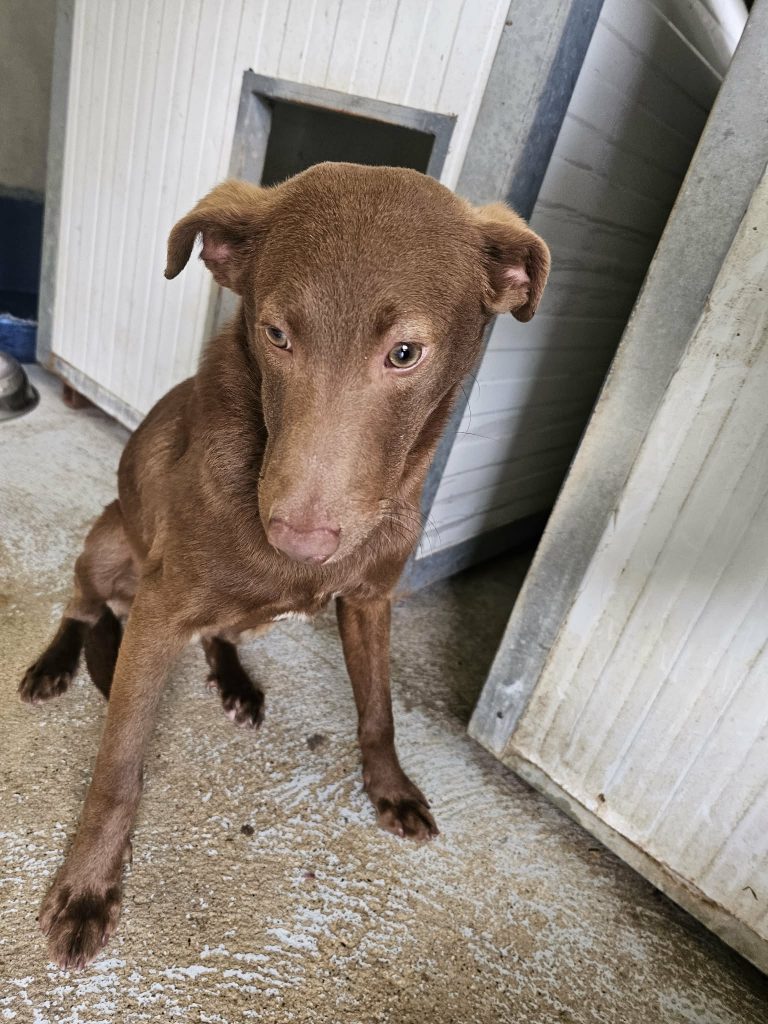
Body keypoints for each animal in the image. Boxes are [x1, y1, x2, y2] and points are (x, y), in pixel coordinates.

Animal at [19, 162, 550, 968]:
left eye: (404, 353)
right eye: (275, 334)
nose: (298, 540)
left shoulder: (370, 599)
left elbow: (378, 709)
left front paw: (391, 786)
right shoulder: (160, 610)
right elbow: (117, 769)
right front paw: (87, 887)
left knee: (220, 632)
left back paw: (236, 681)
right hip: (110, 540)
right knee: (82, 604)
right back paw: (54, 664)